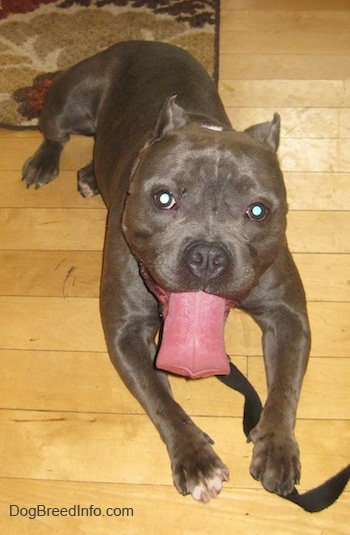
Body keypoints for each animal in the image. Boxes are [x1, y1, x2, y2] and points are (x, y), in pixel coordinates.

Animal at [23, 40, 310, 502]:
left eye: (258, 211)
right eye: (163, 198)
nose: (208, 255)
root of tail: (140, 41)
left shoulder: (289, 316)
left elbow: (285, 386)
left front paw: (278, 446)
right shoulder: (125, 333)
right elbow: (161, 399)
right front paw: (196, 459)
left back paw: (90, 175)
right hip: (65, 103)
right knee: (56, 133)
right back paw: (46, 162)